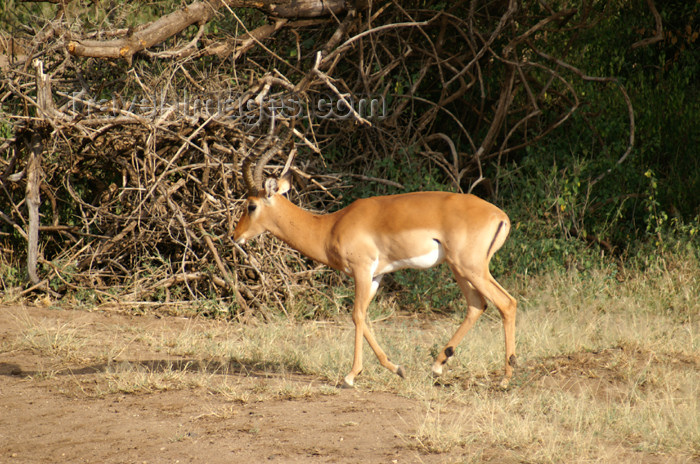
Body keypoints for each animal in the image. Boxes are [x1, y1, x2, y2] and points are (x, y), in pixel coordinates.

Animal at [232, 145, 516, 388]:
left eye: (251, 205)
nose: (235, 236)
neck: (330, 226)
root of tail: (501, 216)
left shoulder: (361, 270)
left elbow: (356, 315)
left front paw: (350, 376)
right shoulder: (376, 276)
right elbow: (364, 317)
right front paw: (397, 368)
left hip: (470, 268)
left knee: (506, 303)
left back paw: (504, 379)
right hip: (461, 269)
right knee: (477, 304)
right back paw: (437, 366)